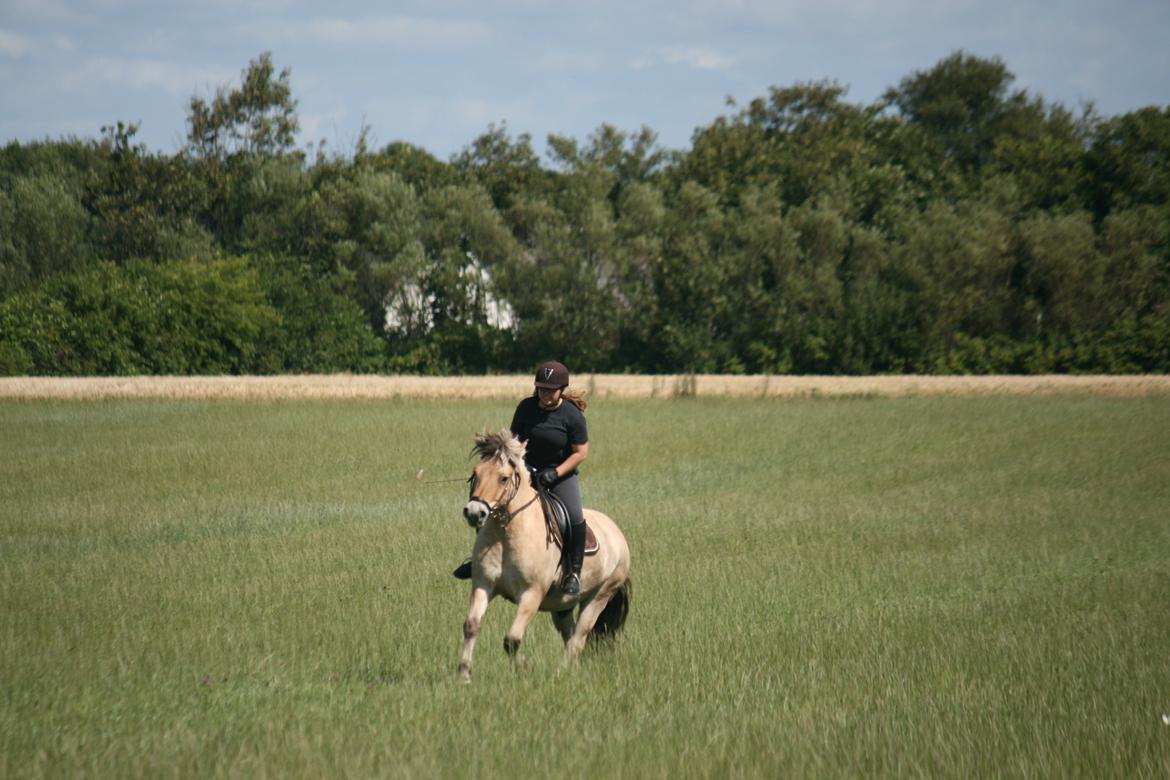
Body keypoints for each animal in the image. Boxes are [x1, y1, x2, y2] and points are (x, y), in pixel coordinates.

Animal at [460, 430, 636, 678]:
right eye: (476, 473)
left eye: (503, 478)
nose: (475, 513)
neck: (506, 533)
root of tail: (617, 533)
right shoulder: (484, 584)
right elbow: (471, 626)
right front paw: (464, 675)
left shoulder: (531, 594)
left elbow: (511, 639)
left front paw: (524, 667)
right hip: (562, 606)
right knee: (569, 635)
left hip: (600, 594)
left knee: (578, 639)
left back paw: (561, 673)